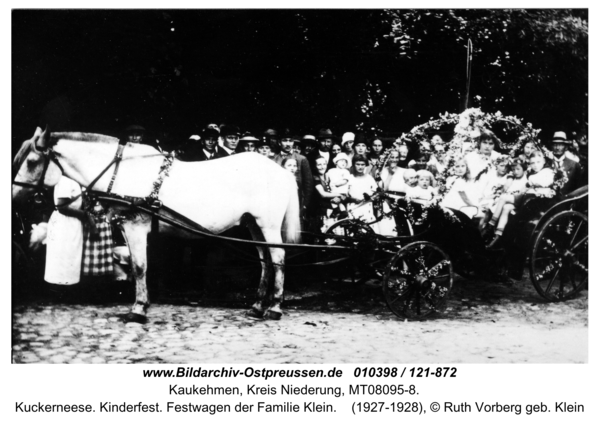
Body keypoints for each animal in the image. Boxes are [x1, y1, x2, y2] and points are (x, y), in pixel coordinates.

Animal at [11, 128, 298, 322]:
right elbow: (138, 265)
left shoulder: (135, 225)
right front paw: (143, 303)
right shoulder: (126, 227)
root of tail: (280, 170)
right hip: (252, 225)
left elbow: (139, 266)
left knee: (278, 258)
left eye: (32, 161)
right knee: (265, 260)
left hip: (268, 225)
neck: (121, 173)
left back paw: (274, 307)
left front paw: (138, 309)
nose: (13, 198)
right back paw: (258, 306)